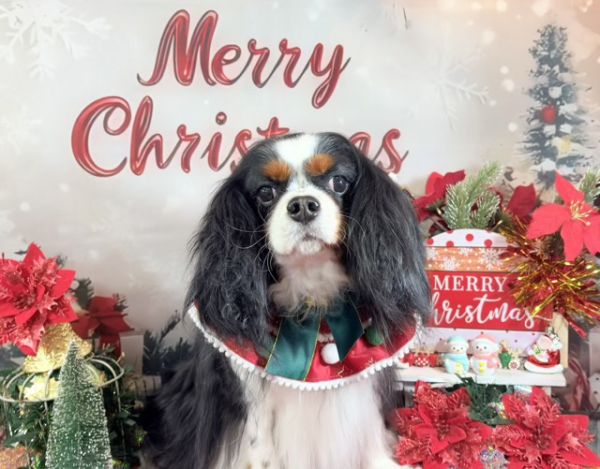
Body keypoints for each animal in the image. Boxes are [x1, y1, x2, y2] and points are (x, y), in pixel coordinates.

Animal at [143, 132, 430, 469]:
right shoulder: (248, 393)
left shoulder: (365, 385)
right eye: (266, 192)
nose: (303, 205)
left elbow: (368, 433)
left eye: (338, 182)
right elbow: (257, 447)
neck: (311, 292)